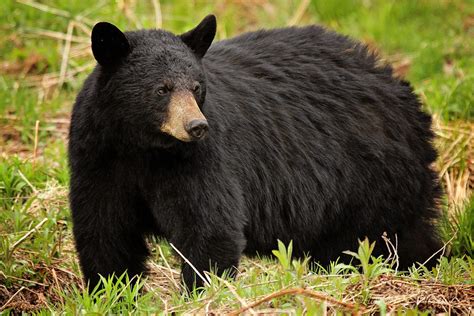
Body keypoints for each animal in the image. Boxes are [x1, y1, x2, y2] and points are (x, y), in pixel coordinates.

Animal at [68, 14, 442, 292]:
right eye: (162, 89)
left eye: (197, 87)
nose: (196, 126)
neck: (144, 147)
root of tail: (396, 84)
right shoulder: (98, 158)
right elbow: (106, 232)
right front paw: (112, 294)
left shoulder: (200, 161)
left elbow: (209, 227)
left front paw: (202, 294)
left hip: (372, 179)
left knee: (393, 237)